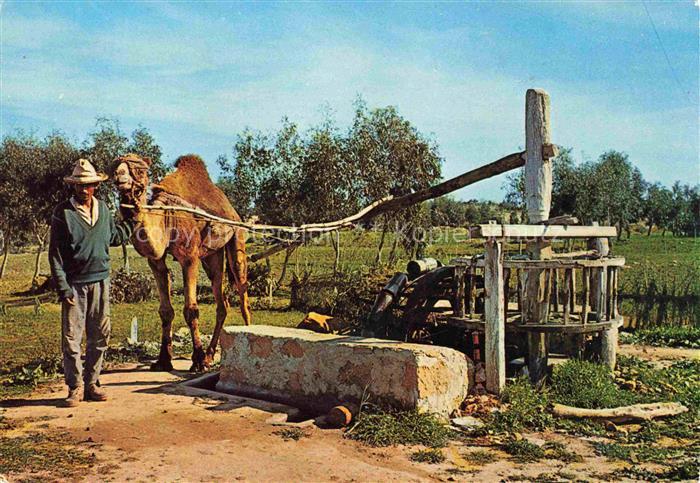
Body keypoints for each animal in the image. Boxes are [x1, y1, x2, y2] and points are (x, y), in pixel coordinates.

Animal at [113, 153, 251, 372]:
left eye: (140, 170)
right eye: (116, 166)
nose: (120, 176)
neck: (166, 216)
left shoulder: (189, 258)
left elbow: (191, 310)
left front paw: (197, 360)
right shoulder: (156, 261)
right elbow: (165, 311)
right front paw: (163, 360)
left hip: (236, 239)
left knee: (243, 295)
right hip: (212, 256)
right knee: (222, 303)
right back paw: (210, 356)